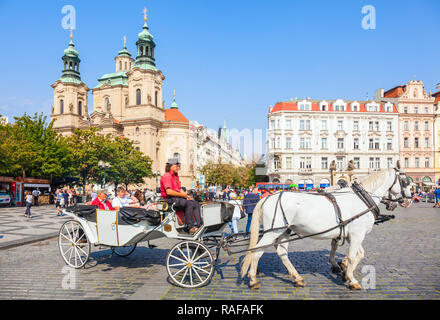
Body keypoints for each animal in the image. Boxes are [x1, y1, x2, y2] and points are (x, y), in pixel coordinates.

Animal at [241, 165, 412, 290]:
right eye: (405, 182)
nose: (408, 201)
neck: (363, 198)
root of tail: (267, 197)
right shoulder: (357, 234)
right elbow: (353, 256)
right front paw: (351, 279)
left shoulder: (350, 234)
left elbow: (358, 254)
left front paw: (344, 270)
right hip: (272, 232)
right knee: (257, 251)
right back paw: (253, 279)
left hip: (285, 231)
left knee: (282, 253)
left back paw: (297, 278)